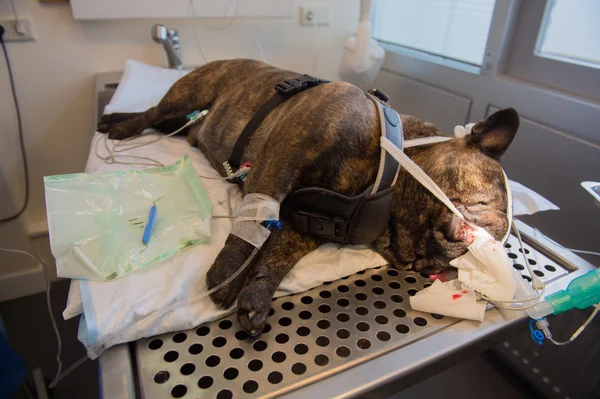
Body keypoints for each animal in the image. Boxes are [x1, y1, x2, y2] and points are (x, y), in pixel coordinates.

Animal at [98, 58, 520, 334]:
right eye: (483, 204)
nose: (487, 245)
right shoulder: (285, 154)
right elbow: (254, 225)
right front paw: (229, 273)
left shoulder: (308, 225)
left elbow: (278, 253)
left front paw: (257, 293)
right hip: (190, 93)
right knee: (154, 112)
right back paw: (120, 125)